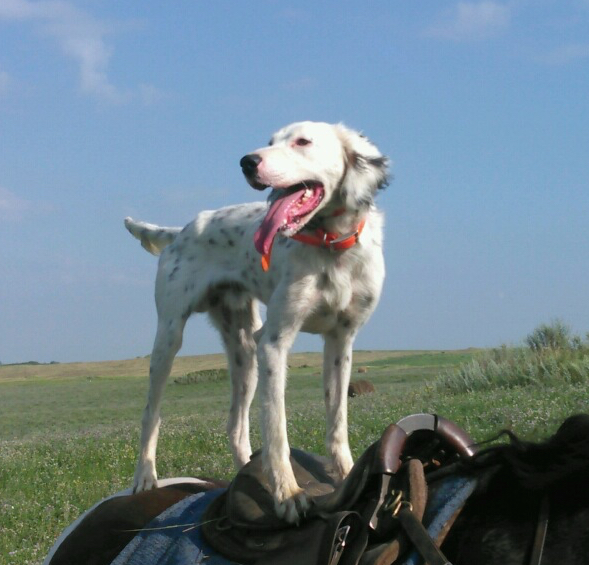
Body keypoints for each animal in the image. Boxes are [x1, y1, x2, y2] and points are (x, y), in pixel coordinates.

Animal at [125, 121, 386, 524]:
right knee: (150, 415)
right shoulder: (275, 343)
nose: (247, 162)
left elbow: (337, 421)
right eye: (269, 141)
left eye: (302, 141)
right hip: (169, 339)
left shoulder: (341, 342)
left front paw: (346, 474)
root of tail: (182, 229)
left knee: (235, 426)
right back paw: (145, 475)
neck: (330, 246)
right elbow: (276, 429)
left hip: (243, 350)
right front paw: (288, 494)